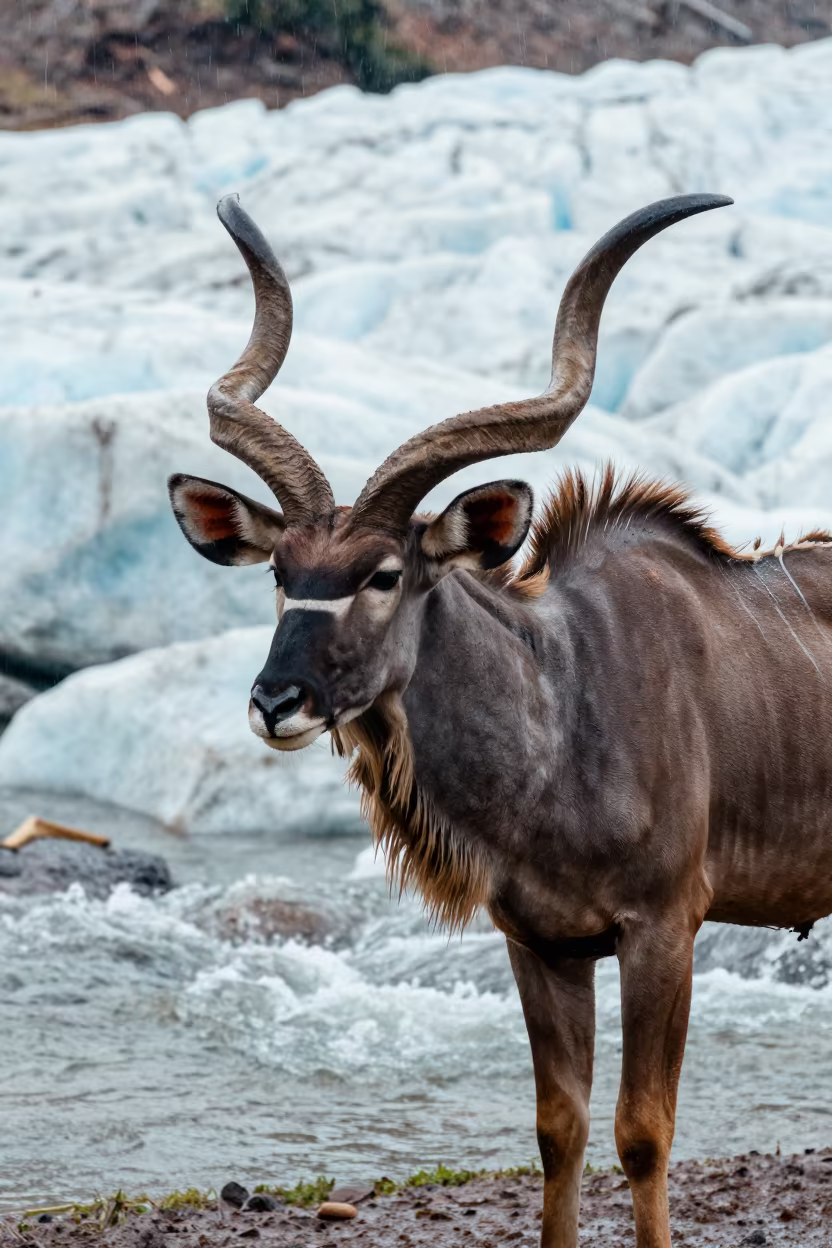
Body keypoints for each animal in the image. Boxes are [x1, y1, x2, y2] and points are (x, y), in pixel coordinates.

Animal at [169, 191, 832, 1248]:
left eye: (383, 574)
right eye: (280, 570)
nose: (277, 702)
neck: (561, 711)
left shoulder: (663, 928)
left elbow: (642, 1130)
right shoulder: (541, 944)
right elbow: (559, 1128)